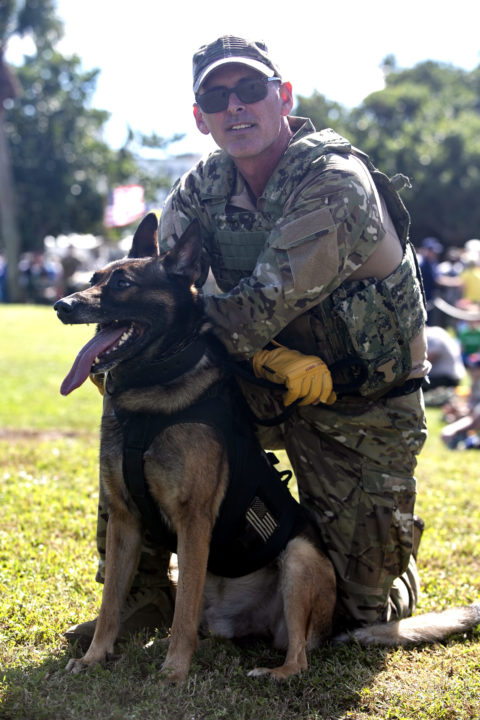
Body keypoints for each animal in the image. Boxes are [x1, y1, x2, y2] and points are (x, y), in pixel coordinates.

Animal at [54, 212, 480, 680]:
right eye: (93, 278)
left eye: (123, 283)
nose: (62, 306)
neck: (151, 392)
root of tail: (336, 627)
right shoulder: (125, 519)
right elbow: (111, 602)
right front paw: (94, 657)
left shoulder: (194, 521)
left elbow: (181, 611)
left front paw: (174, 672)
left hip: (298, 557)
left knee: (298, 655)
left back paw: (273, 672)